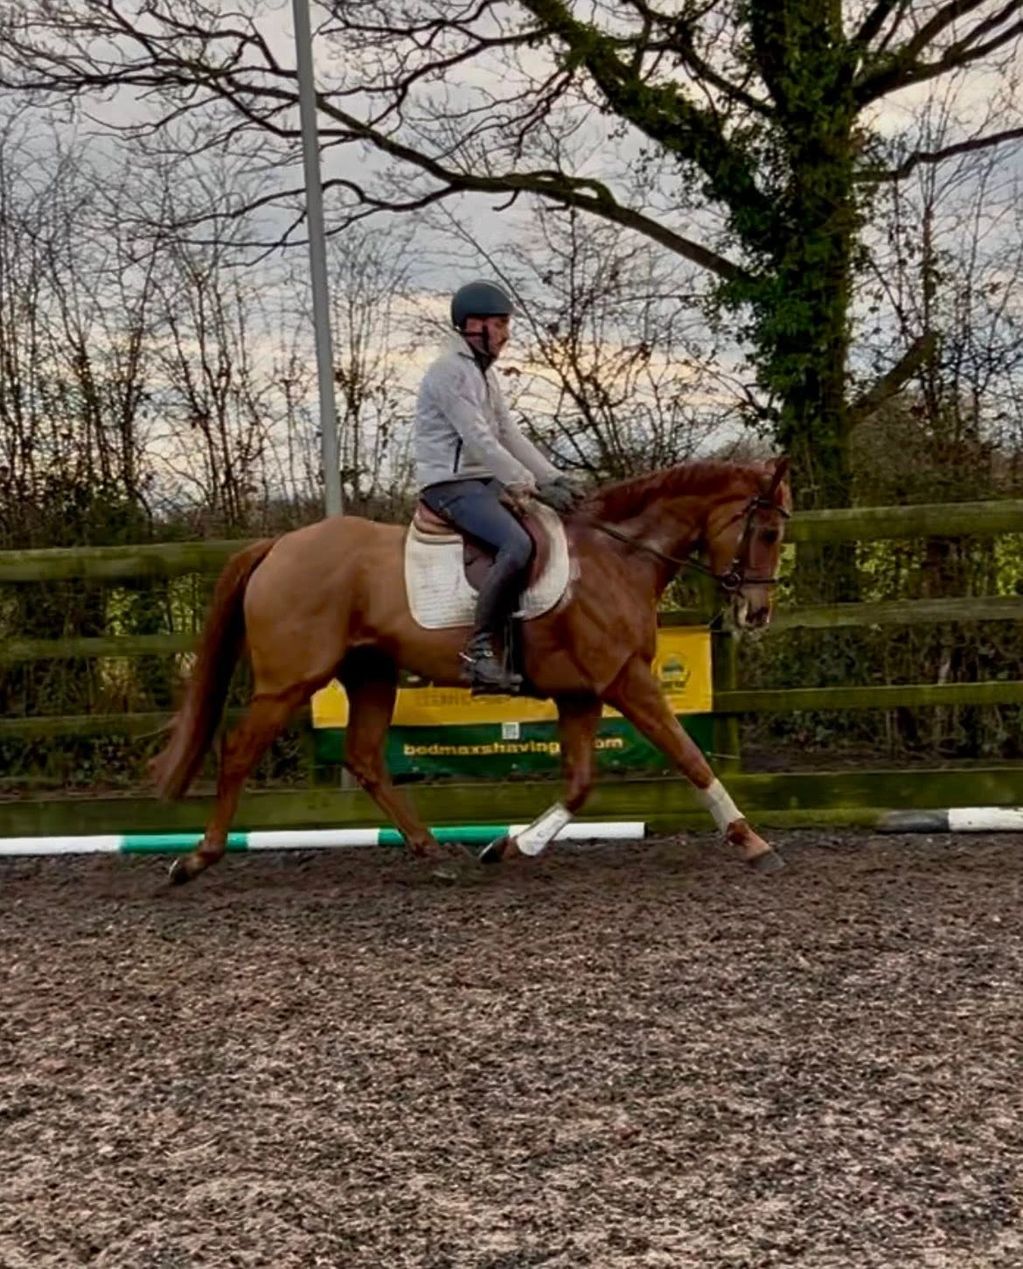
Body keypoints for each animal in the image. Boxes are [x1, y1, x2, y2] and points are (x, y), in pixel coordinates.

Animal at [153, 456, 792, 883]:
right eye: (766, 531)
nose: (758, 613)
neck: (616, 556)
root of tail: (279, 545)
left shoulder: (582, 694)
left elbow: (580, 785)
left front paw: (510, 846)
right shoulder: (624, 679)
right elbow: (689, 755)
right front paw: (750, 838)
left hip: (371, 675)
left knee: (364, 758)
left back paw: (433, 852)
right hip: (289, 682)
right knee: (239, 752)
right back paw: (197, 858)